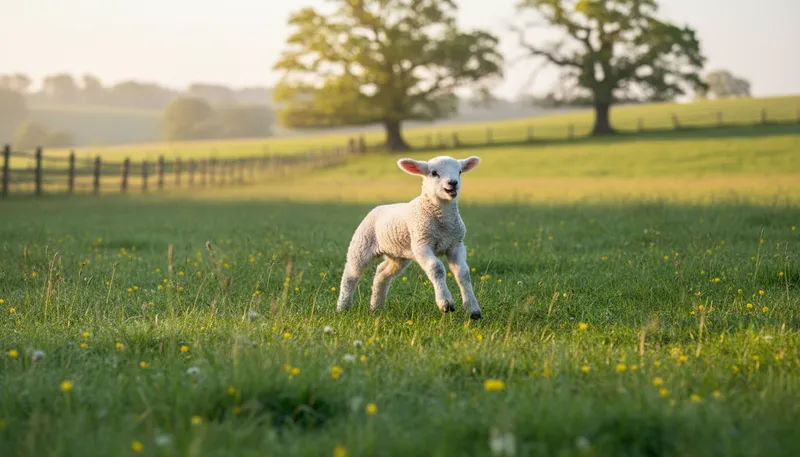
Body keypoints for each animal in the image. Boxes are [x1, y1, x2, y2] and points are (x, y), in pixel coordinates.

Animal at [335, 155, 483, 320]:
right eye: (434, 173)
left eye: (460, 171)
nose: (453, 183)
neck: (443, 222)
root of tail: (378, 207)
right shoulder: (421, 244)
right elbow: (436, 268)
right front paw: (445, 303)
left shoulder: (456, 244)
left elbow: (463, 273)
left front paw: (473, 310)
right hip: (362, 243)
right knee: (351, 274)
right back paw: (342, 308)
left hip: (398, 255)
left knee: (382, 273)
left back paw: (376, 308)